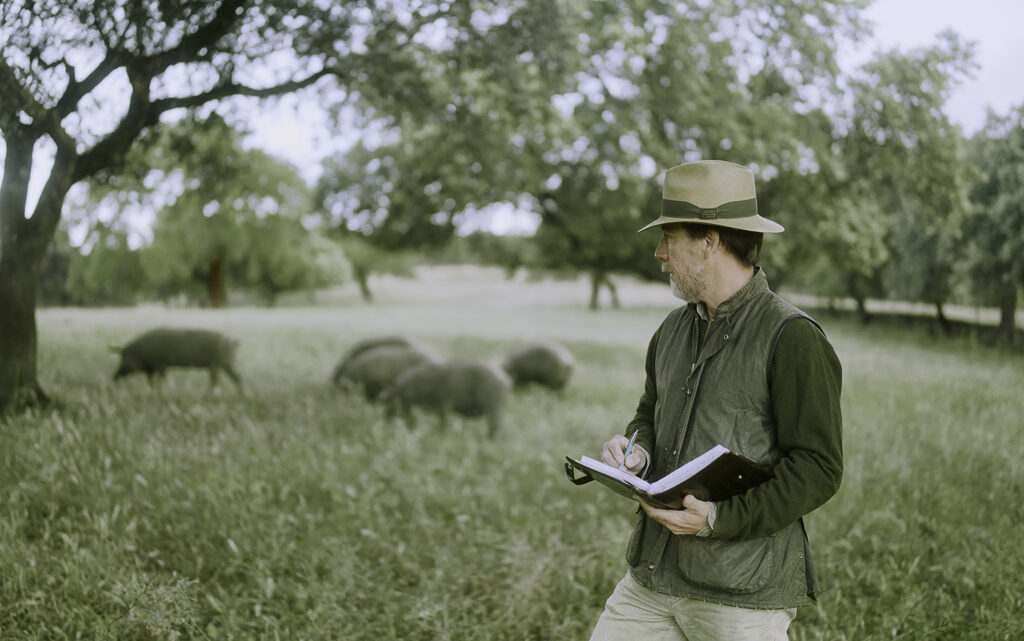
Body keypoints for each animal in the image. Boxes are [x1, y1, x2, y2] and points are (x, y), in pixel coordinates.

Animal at [111, 327, 241, 387]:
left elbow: (160, 379)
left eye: (124, 357)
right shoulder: (154, 368)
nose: (114, 377)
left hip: (223, 363)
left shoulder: (160, 365)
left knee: (230, 378)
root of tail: (233, 342)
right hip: (220, 365)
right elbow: (152, 381)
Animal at [380, 360, 512, 434]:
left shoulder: (441, 405)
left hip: (493, 405)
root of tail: (505, 380)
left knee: (495, 425)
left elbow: (442, 424)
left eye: (390, 403)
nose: (385, 427)